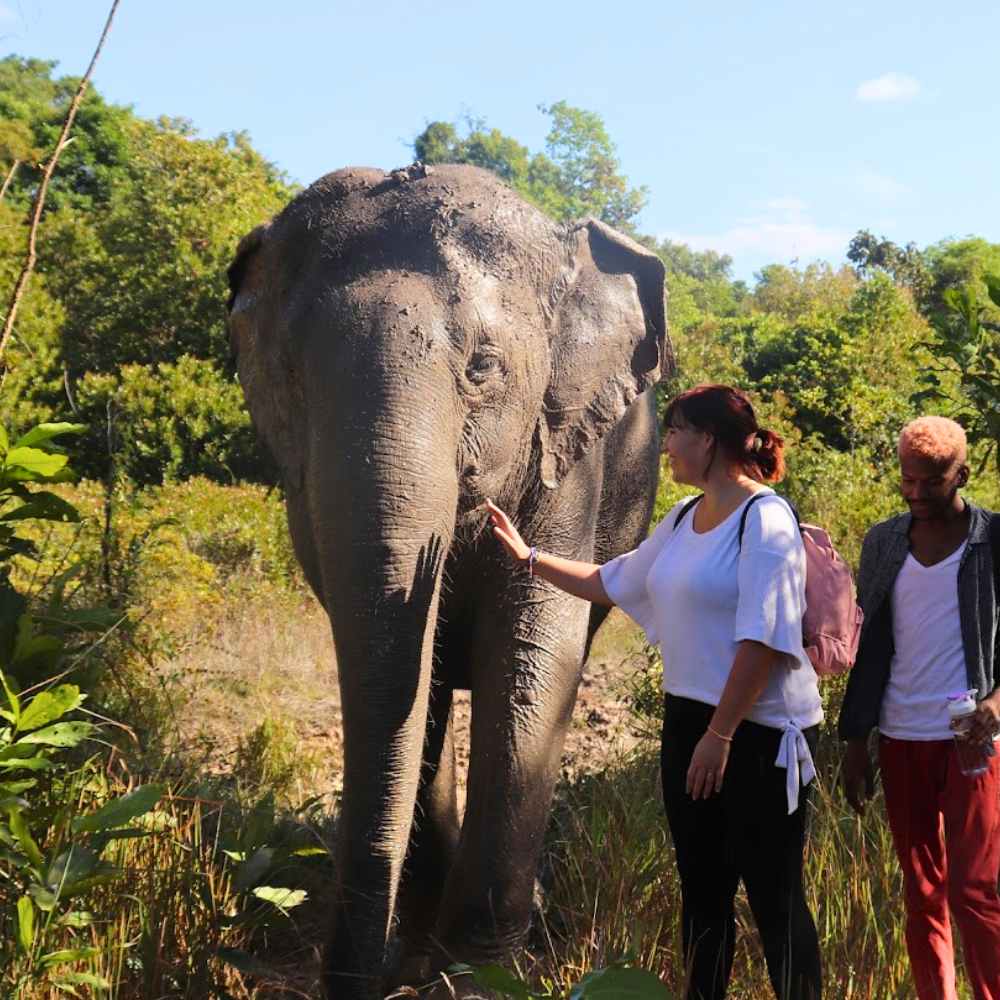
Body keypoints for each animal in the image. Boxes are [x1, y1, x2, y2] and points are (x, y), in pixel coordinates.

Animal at [227, 160, 672, 996]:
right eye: (292, 378)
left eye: (481, 370)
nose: (357, 979)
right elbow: (410, 676)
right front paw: (419, 951)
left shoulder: (570, 460)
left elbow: (532, 657)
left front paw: (477, 975)